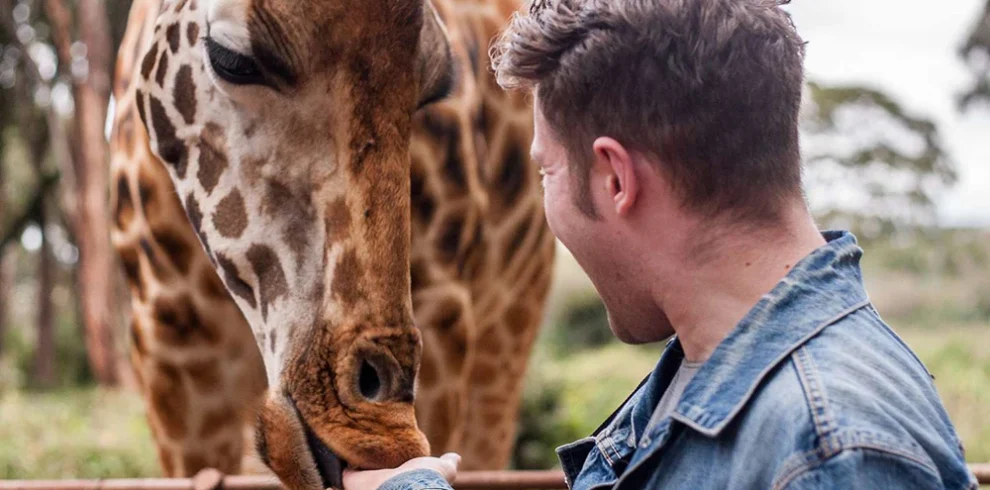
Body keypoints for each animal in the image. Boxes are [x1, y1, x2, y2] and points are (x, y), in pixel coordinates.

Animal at [108, 0, 556, 487]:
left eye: (433, 86)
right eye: (232, 58)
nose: (382, 435)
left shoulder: (445, 314)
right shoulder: (170, 341)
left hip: (508, 334)